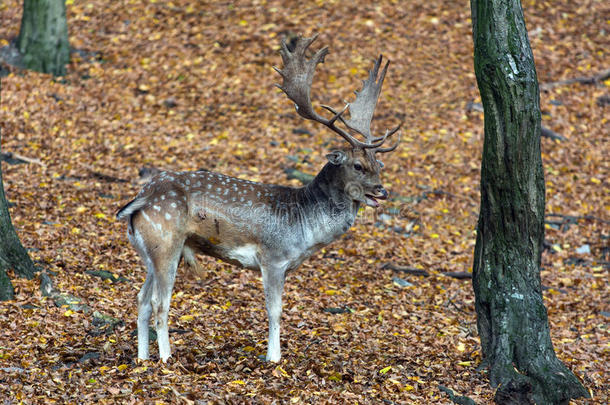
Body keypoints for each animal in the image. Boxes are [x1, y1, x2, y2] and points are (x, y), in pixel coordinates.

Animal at [116, 34, 402, 362]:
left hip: (147, 251)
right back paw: (166, 359)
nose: (382, 190)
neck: (305, 227)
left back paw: (143, 359)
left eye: (379, 164)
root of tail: (139, 199)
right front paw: (273, 358)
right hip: (166, 243)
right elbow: (275, 311)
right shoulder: (273, 257)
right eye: (357, 165)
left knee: (141, 299)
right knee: (160, 303)